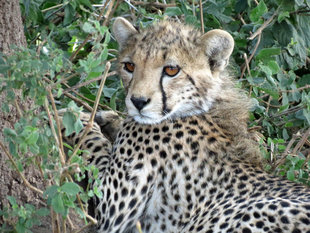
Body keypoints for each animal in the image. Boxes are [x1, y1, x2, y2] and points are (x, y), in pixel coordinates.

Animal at [61, 17, 310, 232]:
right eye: (129, 66)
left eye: (172, 70)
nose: (138, 101)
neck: (201, 107)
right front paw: (110, 119)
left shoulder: (113, 209)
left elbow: (95, 148)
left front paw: (75, 119)